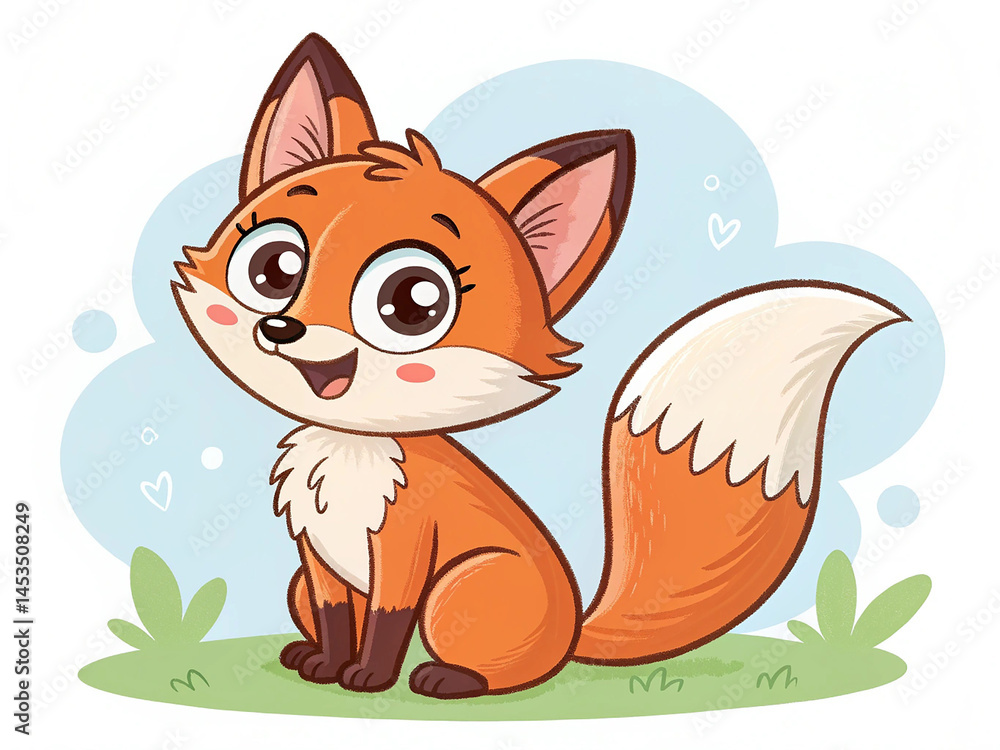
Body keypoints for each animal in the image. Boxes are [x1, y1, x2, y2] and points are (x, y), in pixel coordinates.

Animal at [173, 34, 908, 699]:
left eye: (412, 302)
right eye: (273, 269)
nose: (281, 329)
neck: (353, 446)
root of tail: (574, 630)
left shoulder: (408, 547)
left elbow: (385, 623)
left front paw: (369, 679)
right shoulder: (316, 558)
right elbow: (334, 616)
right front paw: (328, 666)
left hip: (465, 585)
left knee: (498, 667)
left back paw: (448, 680)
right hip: (305, 586)